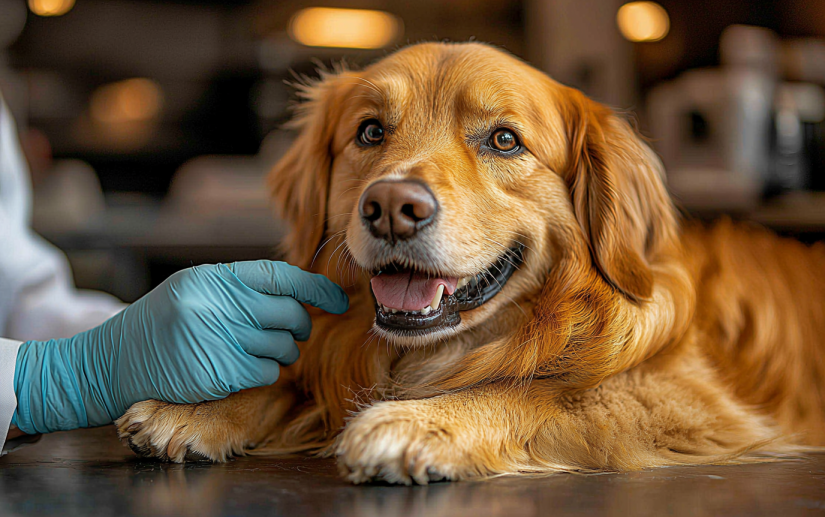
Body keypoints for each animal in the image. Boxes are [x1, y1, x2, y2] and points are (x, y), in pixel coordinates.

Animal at [116, 42, 824, 482]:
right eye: (370, 131)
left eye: (504, 139)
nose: (391, 207)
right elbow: (298, 377)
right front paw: (202, 409)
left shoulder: (685, 400)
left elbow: (537, 390)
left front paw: (415, 421)